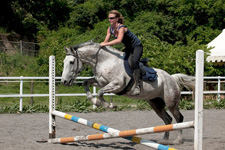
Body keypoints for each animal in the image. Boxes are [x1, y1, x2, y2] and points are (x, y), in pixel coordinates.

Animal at [61, 40, 195, 145]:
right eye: (64, 62)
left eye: (71, 62)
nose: (64, 81)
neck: (103, 60)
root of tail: (172, 78)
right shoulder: (100, 82)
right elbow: (86, 83)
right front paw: (95, 102)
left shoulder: (117, 84)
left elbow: (100, 92)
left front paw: (108, 105)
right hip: (155, 103)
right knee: (167, 120)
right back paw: (164, 140)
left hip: (171, 102)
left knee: (179, 118)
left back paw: (178, 141)